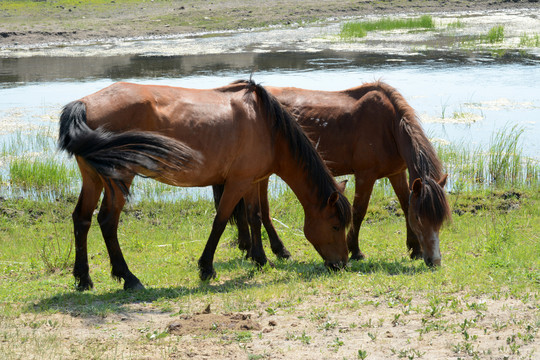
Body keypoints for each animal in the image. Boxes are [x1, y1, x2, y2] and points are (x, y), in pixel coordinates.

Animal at [58, 80, 350, 292]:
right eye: (336, 226)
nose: (342, 264)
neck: (267, 126)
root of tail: (84, 104)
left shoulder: (251, 181)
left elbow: (255, 217)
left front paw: (260, 259)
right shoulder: (238, 183)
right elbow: (220, 221)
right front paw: (207, 268)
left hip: (93, 178)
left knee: (82, 219)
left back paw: (83, 279)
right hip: (119, 178)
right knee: (107, 221)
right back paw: (129, 278)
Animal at [217, 81, 450, 268]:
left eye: (439, 219)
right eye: (420, 218)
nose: (435, 260)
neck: (389, 125)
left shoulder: (396, 173)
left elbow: (404, 205)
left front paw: (414, 249)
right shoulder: (366, 175)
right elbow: (359, 211)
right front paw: (355, 250)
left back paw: (256, 249)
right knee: (259, 211)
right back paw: (272, 250)